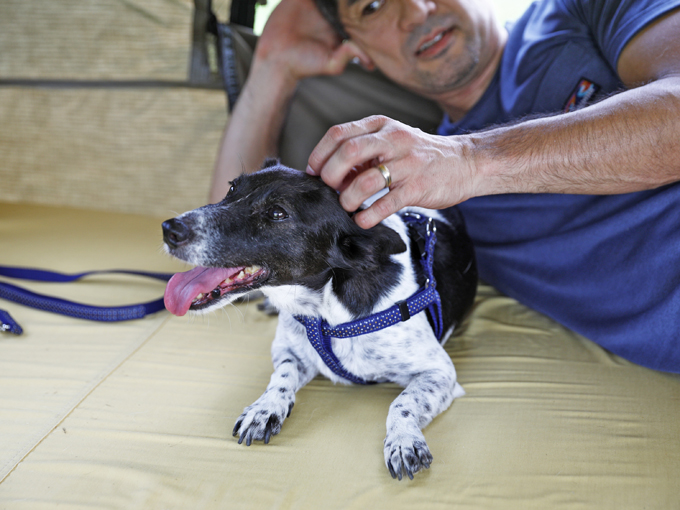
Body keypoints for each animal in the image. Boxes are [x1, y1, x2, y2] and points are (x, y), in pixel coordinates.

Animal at [161, 161, 476, 480]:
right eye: (232, 188)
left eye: (277, 213)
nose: (170, 229)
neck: (325, 311)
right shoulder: (288, 349)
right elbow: (282, 375)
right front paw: (264, 409)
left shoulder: (440, 371)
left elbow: (402, 402)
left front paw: (403, 440)